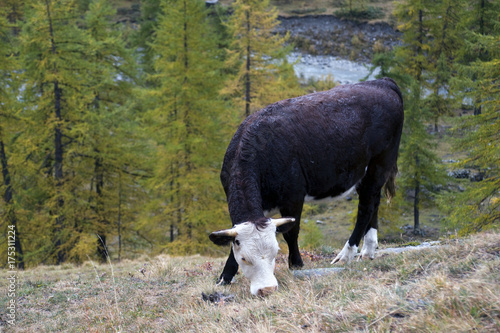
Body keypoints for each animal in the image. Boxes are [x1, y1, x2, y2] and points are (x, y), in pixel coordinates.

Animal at [209, 76, 404, 294]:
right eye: (244, 258)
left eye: (275, 253)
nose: (267, 289)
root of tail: (382, 82)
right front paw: (225, 277)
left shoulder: (293, 196)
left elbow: (291, 233)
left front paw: (296, 264)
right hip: (365, 171)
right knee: (374, 201)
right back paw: (368, 250)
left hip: (380, 162)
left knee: (366, 208)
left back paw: (346, 254)